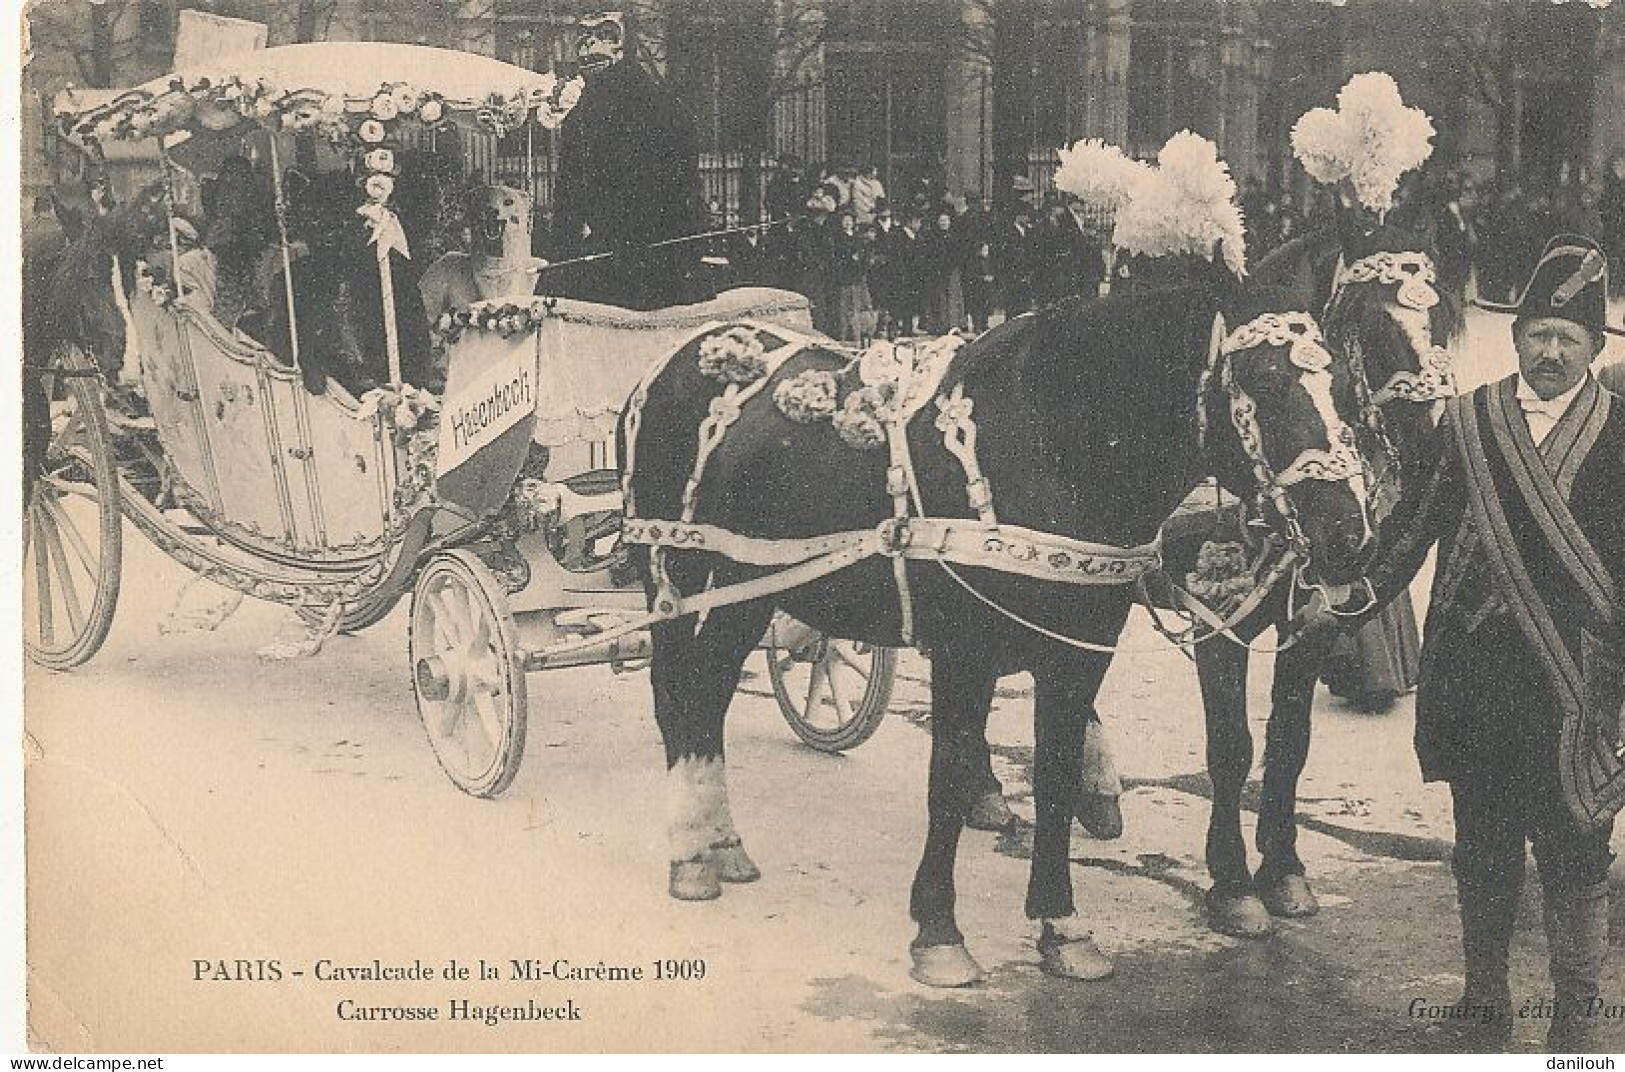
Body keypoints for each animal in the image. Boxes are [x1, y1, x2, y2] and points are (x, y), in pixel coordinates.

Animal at [617, 263, 1371, 981]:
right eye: (1264, 383)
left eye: (1345, 385)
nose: (1347, 535)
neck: (1052, 443)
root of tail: (675, 359)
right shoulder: (965, 654)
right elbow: (949, 777)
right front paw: (938, 933)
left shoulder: (1079, 653)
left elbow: (1056, 775)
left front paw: (1062, 926)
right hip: (677, 579)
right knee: (676, 697)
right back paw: (690, 853)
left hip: (743, 593)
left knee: (708, 696)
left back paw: (721, 842)